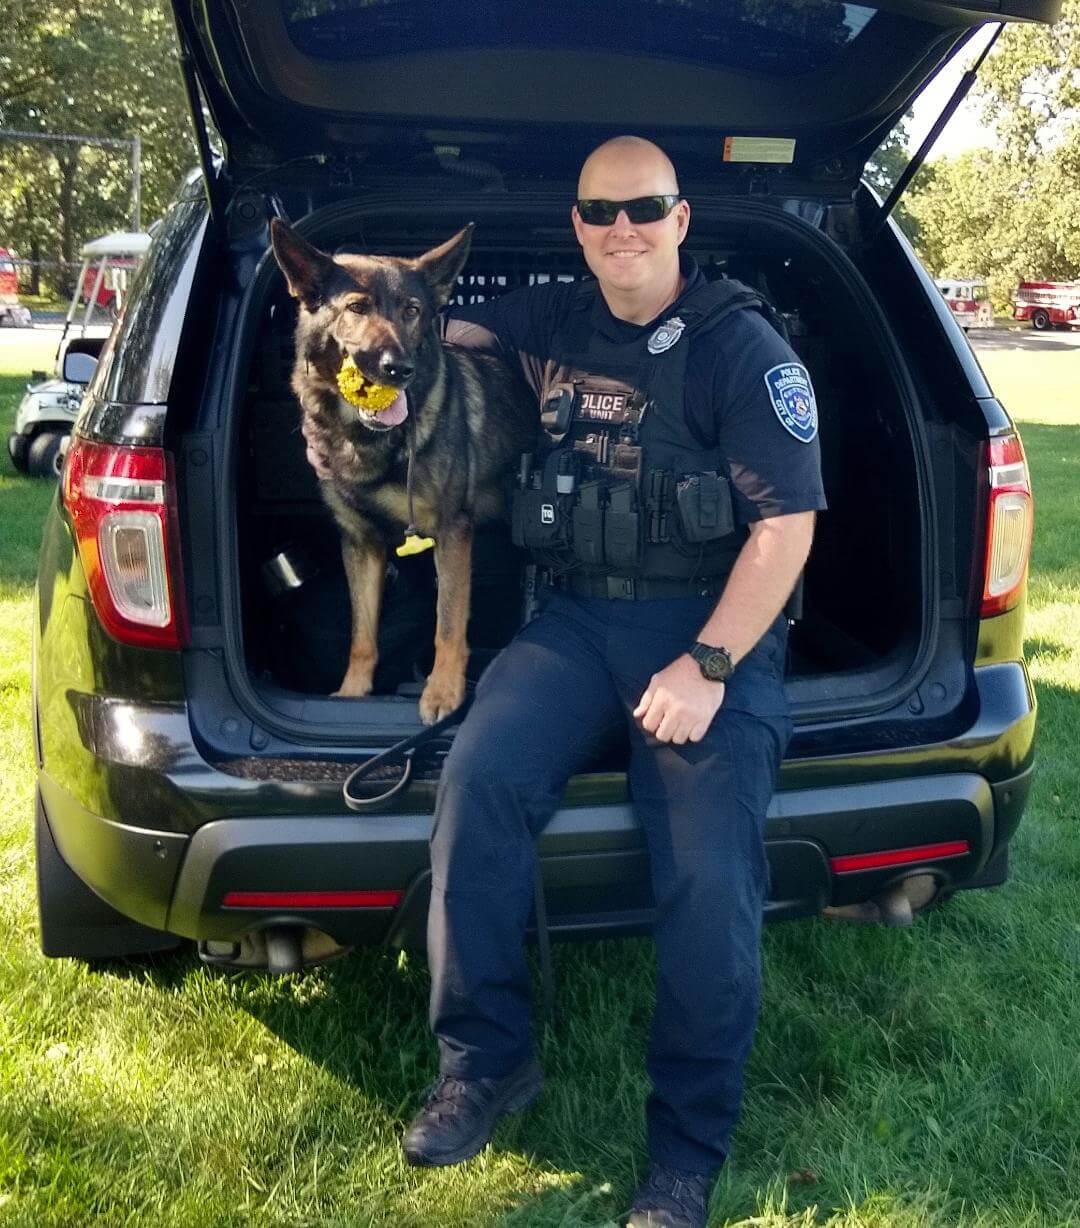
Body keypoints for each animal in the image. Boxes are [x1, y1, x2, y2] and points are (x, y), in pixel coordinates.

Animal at [270, 219, 540, 722]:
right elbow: (361, 634)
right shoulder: (361, 544)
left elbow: (448, 623)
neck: (366, 439)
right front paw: (353, 692)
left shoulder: (452, 533)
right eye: (356, 308)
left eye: (412, 311)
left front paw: (443, 692)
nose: (399, 368)